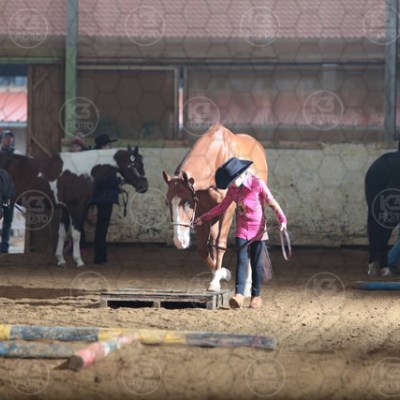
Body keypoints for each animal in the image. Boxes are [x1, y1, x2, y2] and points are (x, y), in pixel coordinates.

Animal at [0, 145, 148, 267]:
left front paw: (61, 260)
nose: (144, 186)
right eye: (136, 164)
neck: (84, 170)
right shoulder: (78, 206)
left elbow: (62, 233)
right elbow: (76, 234)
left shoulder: (65, 208)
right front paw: (79, 261)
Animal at [163, 123, 268, 292]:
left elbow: (220, 243)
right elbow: (203, 248)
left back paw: (247, 284)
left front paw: (216, 281)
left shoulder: (228, 209)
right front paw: (221, 274)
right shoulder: (202, 212)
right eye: (167, 202)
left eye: (188, 202)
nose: (179, 241)